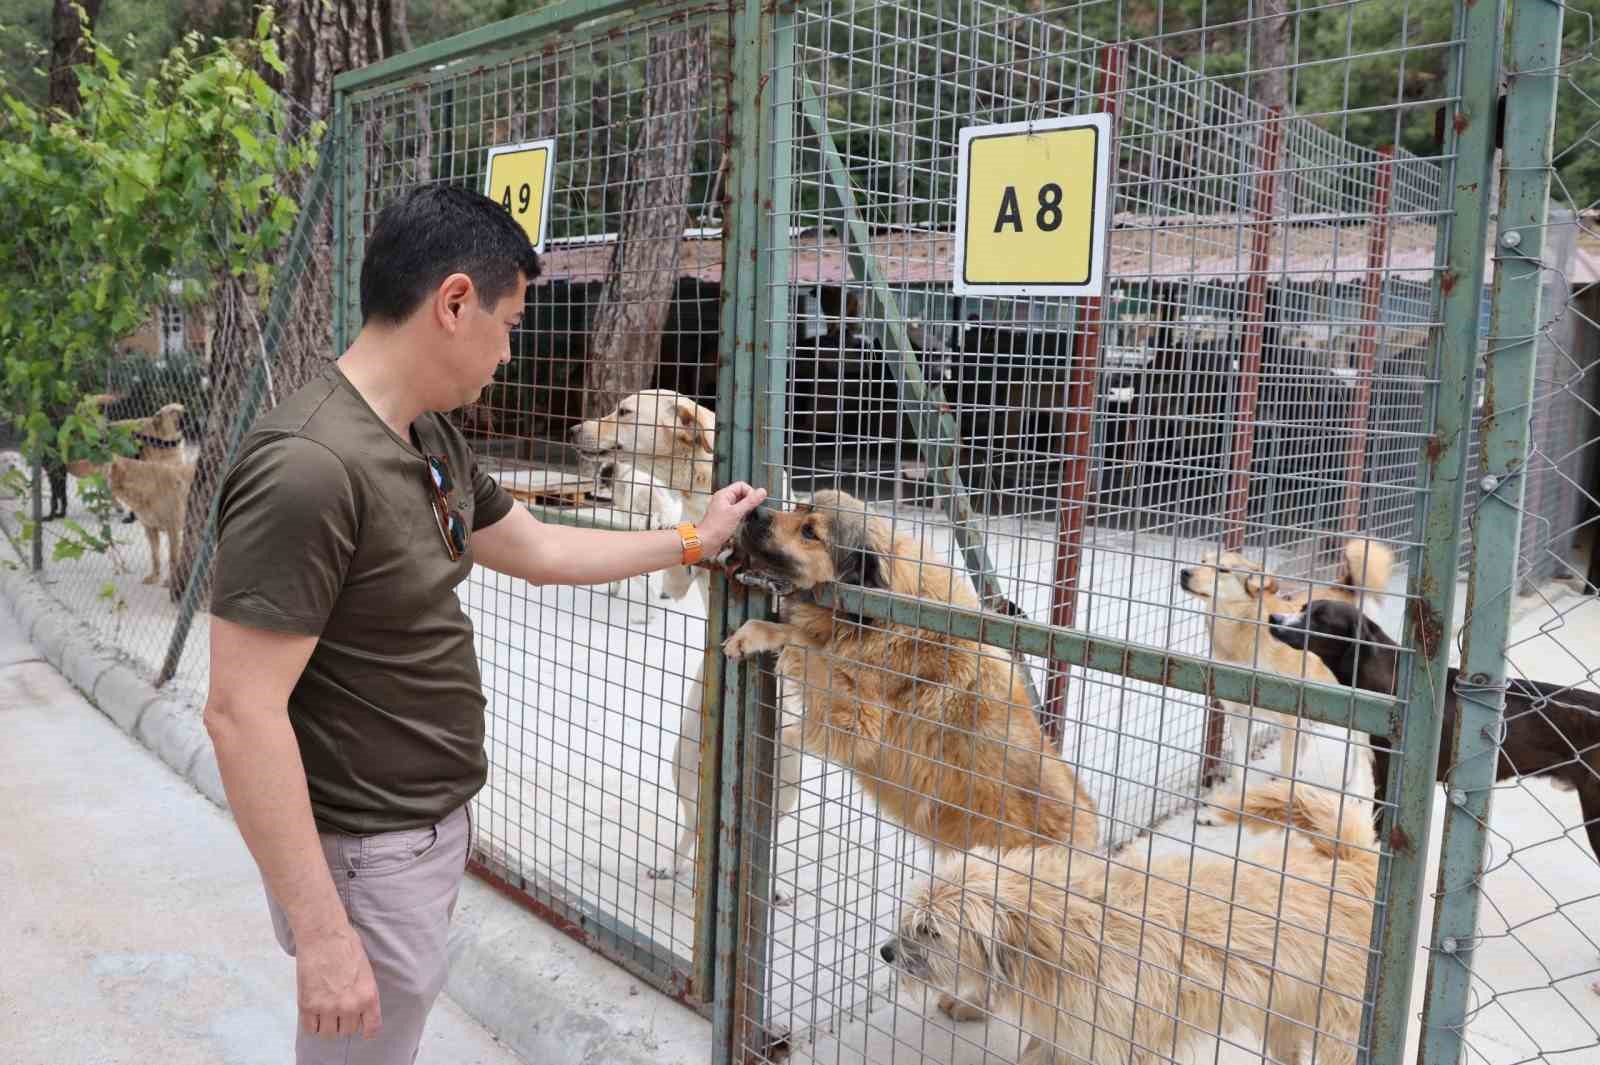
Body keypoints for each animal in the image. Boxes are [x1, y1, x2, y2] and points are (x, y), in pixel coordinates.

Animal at [883, 770, 1382, 1061]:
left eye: (929, 930)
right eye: (913, 917)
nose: (886, 952)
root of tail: (1355, 865)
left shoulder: (1117, 1040)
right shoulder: (1066, 1031)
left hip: (1339, 1030)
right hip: (1284, 1017)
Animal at [1177, 534, 1388, 793]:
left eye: (1223, 569)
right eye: (1202, 561)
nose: (1184, 572)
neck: (1239, 636)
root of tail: (1344, 587)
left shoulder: (1289, 720)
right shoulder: (1239, 715)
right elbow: (1238, 771)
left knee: (1359, 752)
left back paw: (1352, 786)